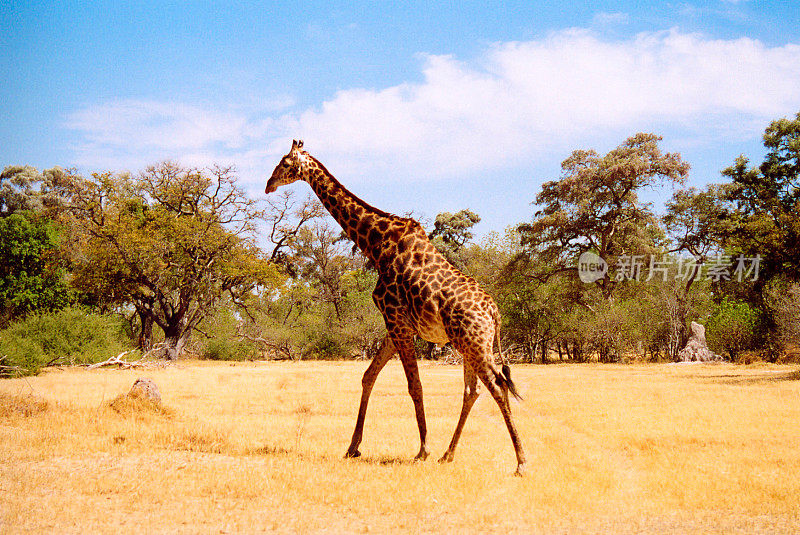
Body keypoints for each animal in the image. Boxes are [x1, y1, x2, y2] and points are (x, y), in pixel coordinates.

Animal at [268, 140, 524, 476]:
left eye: (285, 163)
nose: (269, 184)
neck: (375, 244)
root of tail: (494, 313)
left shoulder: (398, 322)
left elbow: (415, 386)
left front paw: (422, 450)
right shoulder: (395, 325)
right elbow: (368, 376)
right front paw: (353, 447)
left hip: (474, 343)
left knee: (496, 387)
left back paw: (520, 461)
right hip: (469, 345)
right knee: (474, 391)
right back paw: (448, 455)